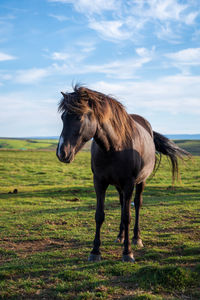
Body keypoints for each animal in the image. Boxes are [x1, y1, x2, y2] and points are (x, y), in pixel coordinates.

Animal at [55, 84, 189, 262]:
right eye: (63, 118)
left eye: (79, 117)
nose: (61, 153)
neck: (114, 147)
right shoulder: (99, 182)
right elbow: (99, 215)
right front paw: (95, 251)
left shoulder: (129, 183)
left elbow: (127, 216)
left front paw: (127, 252)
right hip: (119, 186)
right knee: (121, 204)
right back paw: (120, 236)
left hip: (140, 182)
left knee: (137, 205)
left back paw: (136, 238)